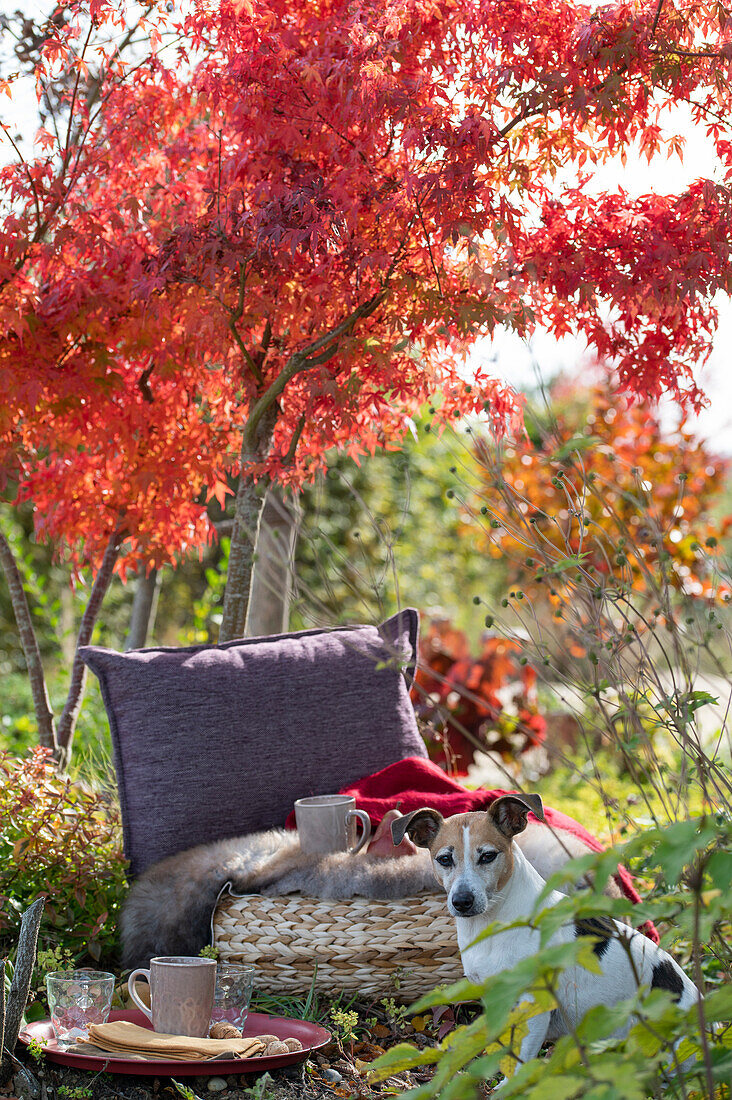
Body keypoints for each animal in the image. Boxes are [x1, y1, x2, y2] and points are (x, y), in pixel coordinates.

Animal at [391, 796, 700, 1078]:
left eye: (488, 856)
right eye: (445, 859)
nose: (462, 901)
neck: (493, 924)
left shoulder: (533, 1009)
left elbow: (519, 1066)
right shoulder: (497, 1000)